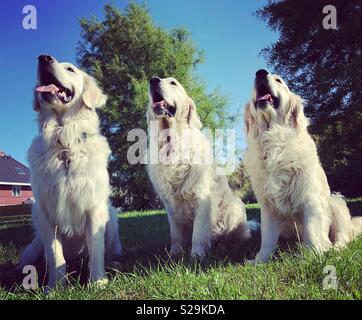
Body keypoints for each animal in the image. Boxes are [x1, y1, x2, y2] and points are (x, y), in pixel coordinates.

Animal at [17, 55, 122, 290]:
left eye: (70, 69)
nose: (43, 57)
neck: (64, 143)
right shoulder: (45, 213)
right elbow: (55, 254)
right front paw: (55, 287)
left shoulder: (94, 208)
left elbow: (96, 250)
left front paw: (98, 281)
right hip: (33, 240)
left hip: (111, 215)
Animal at [146, 76, 253, 258]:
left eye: (173, 83)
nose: (153, 80)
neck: (172, 143)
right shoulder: (170, 204)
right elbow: (175, 234)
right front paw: (174, 253)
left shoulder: (202, 197)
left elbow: (198, 233)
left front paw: (197, 255)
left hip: (235, 208)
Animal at [243, 69, 362, 264]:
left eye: (279, 80)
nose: (260, 72)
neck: (274, 141)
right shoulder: (268, 207)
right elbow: (266, 240)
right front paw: (259, 261)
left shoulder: (310, 199)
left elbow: (312, 232)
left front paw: (313, 257)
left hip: (336, 203)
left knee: (343, 238)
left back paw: (334, 250)